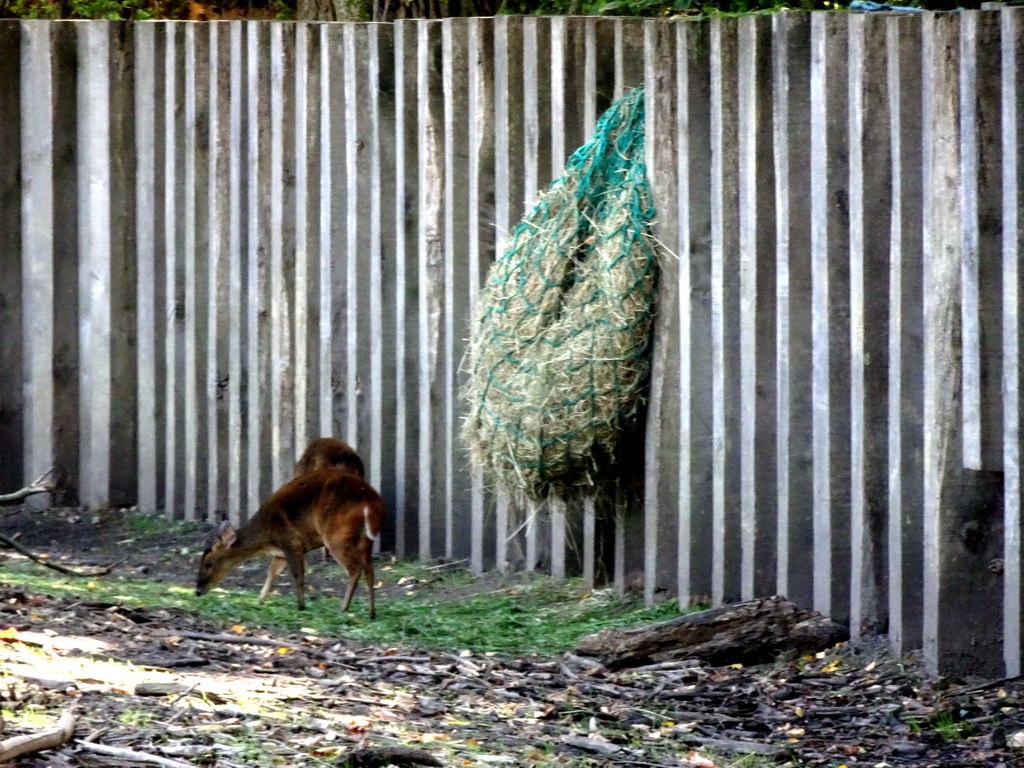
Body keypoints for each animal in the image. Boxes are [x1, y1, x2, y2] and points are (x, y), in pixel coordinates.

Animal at [193, 468, 382, 618]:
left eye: (208, 563)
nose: (197, 591)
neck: (266, 537)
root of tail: (369, 501)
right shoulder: (281, 553)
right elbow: (271, 573)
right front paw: (259, 600)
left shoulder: (291, 543)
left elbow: (298, 576)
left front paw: (301, 606)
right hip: (365, 540)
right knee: (369, 569)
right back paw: (371, 613)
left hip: (336, 536)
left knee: (355, 569)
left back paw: (343, 609)